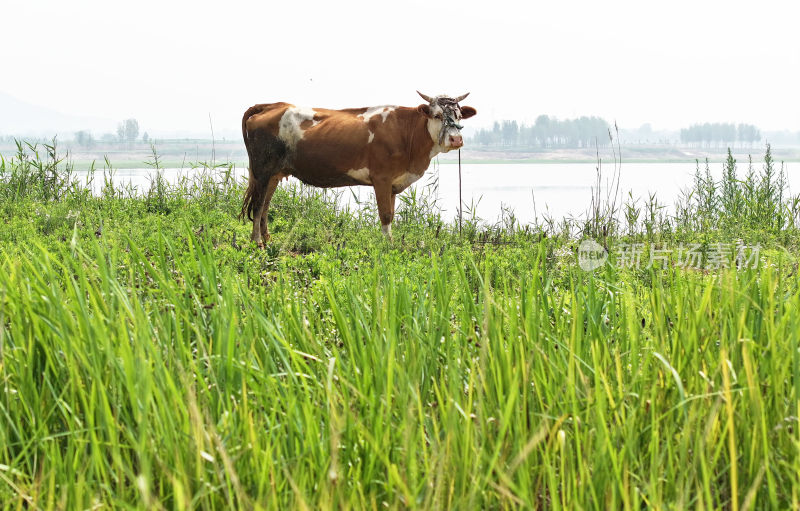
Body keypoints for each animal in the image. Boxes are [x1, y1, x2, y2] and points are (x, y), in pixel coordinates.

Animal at [238, 92, 476, 246]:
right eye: (437, 115)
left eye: (459, 115)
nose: (456, 139)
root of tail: (273, 105)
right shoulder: (382, 178)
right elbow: (385, 215)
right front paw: (387, 246)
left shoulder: (393, 183)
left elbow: (391, 214)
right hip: (262, 170)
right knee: (258, 205)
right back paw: (257, 243)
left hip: (274, 173)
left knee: (266, 205)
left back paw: (268, 239)